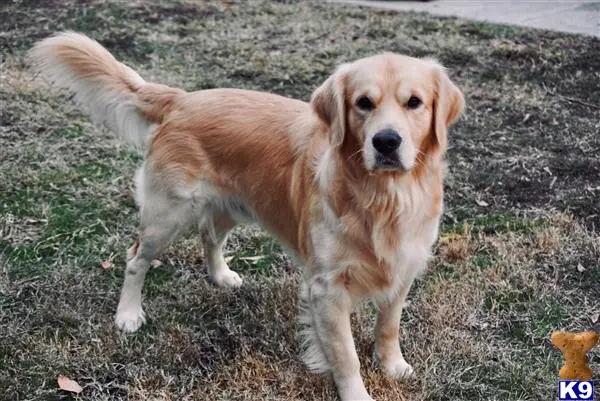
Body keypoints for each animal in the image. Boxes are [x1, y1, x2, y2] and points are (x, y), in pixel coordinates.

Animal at [29, 32, 464, 400]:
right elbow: (345, 357)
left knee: (209, 236)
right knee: (136, 258)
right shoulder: (327, 290)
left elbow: (389, 326)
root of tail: (181, 100)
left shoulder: (403, 267)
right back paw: (129, 314)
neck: (384, 198)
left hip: (230, 206)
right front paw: (357, 393)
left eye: (414, 102)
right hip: (166, 214)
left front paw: (393, 366)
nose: (386, 141)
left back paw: (221, 276)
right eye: (363, 103)